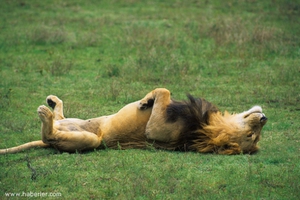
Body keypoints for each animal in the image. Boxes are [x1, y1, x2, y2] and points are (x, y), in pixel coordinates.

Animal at [0, 87, 268, 155]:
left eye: (251, 136)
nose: (264, 117)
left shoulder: (156, 131)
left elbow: (164, 90)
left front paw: (145, 102)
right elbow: (164, 90)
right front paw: (146, 100)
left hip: (91, 141)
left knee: (51, 133)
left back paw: (45, 114)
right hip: (77, 122)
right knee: (61, 117)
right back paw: (53, 102)